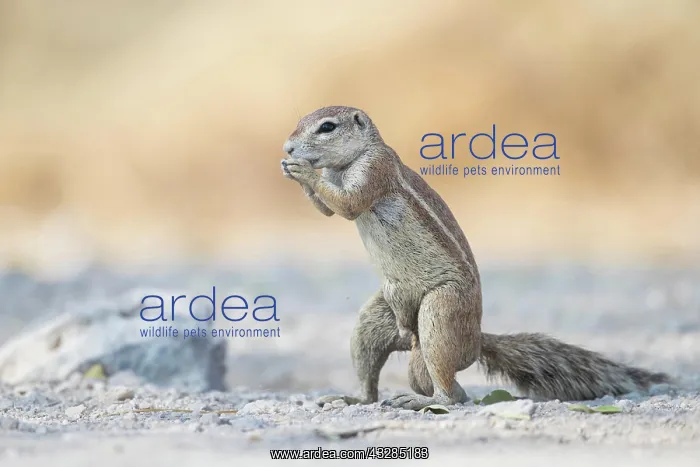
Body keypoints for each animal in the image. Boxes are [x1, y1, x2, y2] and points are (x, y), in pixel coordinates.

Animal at [281, 105, 670, 410]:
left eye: (327, 127)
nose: (287, 147)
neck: (349, 161)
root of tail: (475, 339)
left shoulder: (375, 169)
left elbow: (348, 203)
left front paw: (302, 170)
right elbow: (329, 209)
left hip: (441, 310)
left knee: (455, 392)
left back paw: (422, 400)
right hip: (380, 317)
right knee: (372, 363)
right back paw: (353, 398)